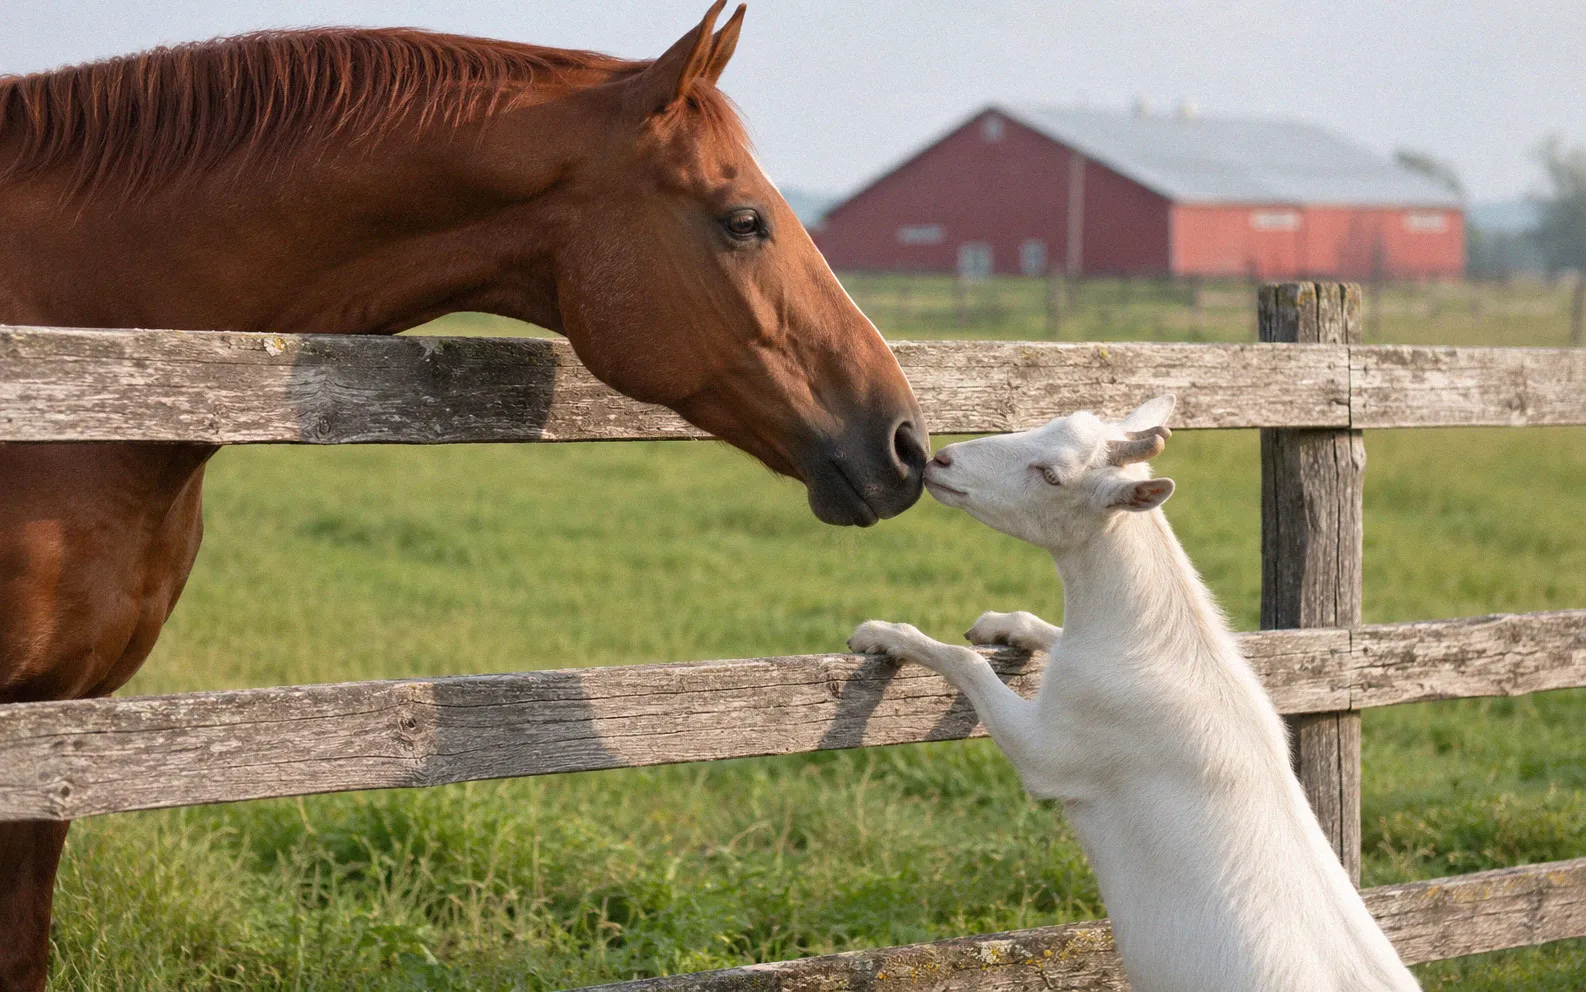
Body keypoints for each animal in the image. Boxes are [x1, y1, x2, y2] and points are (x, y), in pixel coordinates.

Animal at [849, 396, 1418, 992]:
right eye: (1048, 424)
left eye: (1051, 475)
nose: (941, 460)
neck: (1162, 642)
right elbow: (1045, 635)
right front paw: (1001, 624)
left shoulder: (1059, 747)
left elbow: (967, 665)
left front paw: (882, 633)